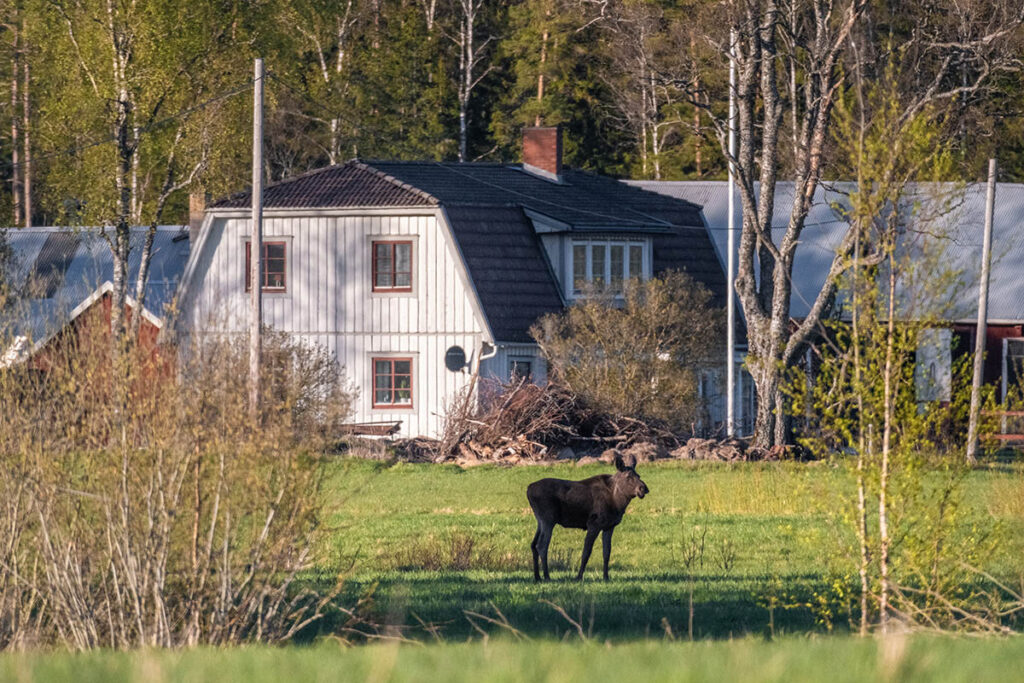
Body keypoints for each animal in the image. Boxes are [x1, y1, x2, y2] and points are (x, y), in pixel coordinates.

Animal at [527, 451, 649, 582]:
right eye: (628, 477)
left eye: (639, 475)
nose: (644, 488)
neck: (617, 503)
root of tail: (528, 490)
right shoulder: (594, 524)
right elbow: (586, 552)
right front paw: (579, 577)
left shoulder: (609, 526)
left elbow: (607, 552)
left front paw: (606, 577)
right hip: (548, 519)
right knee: (542, 545)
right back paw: (547, 576)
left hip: (540, 520)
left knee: (533, 545)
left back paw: (537, 577)